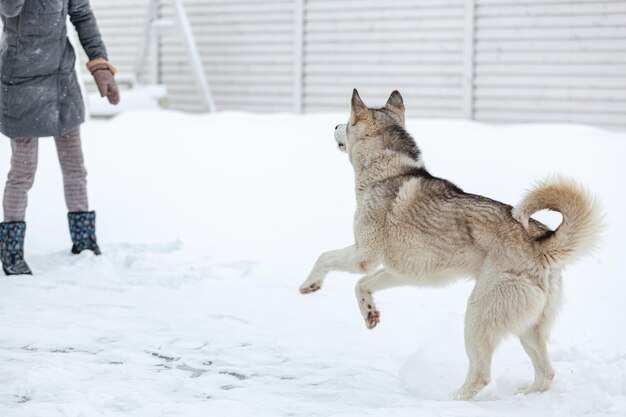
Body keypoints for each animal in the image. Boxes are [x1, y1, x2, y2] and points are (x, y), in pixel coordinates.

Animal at [300, 90, 604, 400]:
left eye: (347, 121)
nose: (334, 126)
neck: (386, 172)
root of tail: (542, 243)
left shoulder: (364, 255)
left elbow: (325, 258)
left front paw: (309, 284)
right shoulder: (399, 271)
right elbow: (361, 285)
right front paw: (370, 313)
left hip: (477, 316)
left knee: (481, 375)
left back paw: (451, 399)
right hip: (528, 328)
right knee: (546, 374)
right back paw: (522, 395)